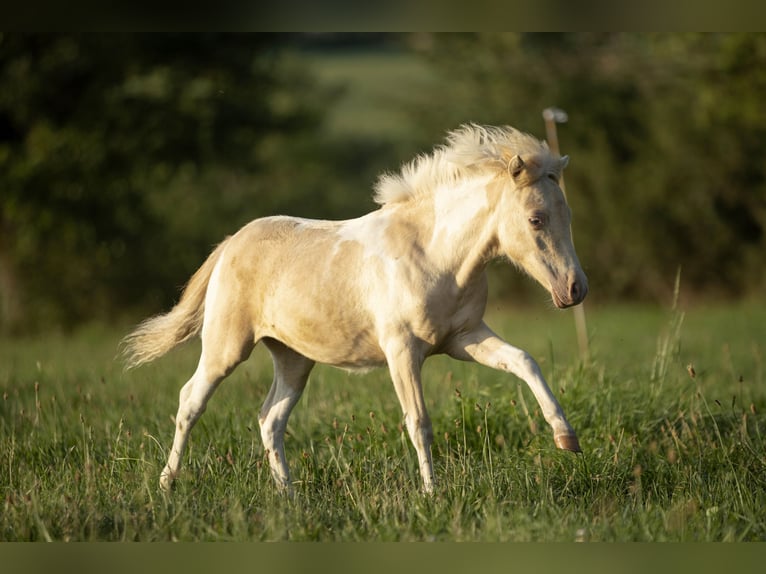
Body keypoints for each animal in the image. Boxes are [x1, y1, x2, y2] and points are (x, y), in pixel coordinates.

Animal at [124, 125, 588, 496]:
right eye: (535, 219)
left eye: (568, 214)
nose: (575, 289)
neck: (435, 255)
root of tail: (230, 244)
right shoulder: (402, 350)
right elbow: (419, 422)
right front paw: (432, 495)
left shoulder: (464, 338)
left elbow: (524, 361)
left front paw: (567, 438)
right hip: (226, 347)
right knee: (190, 402)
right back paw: (166, 485)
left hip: (293, 359)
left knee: (270, 418)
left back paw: (288, 495)